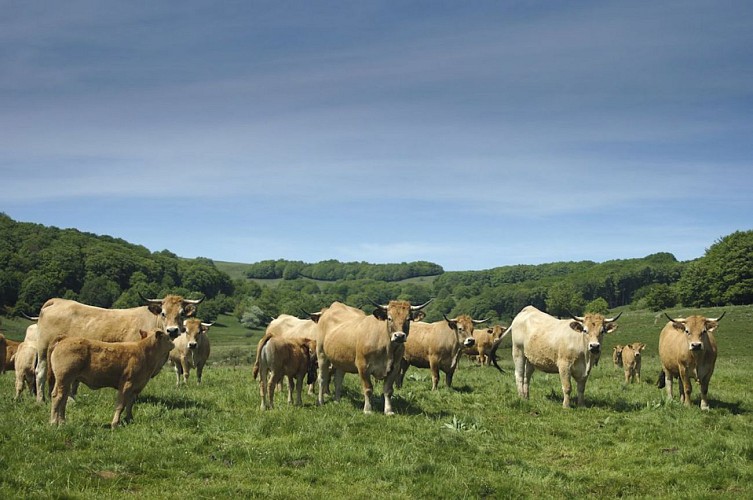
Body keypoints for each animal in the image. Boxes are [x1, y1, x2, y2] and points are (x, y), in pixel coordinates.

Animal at [35, 294, 202, 402]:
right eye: (163, 313)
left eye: (182, 313)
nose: (172, 330)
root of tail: (58, 301)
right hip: (43, 349)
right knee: (40, 372)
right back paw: (40, 399)